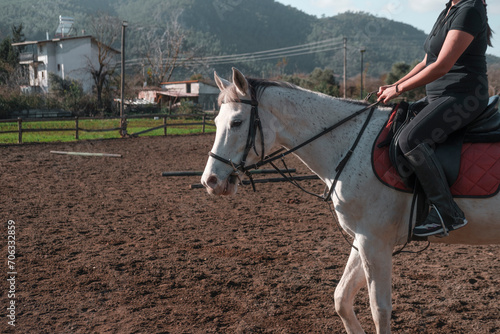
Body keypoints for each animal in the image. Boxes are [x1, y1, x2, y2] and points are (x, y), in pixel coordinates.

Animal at [200, 66, 500, 332]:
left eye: (236, 122)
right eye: (215, 122)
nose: (210, 181)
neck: (350, 145)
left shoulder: (375, 241)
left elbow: (379, 310)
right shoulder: (363, 239)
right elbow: (341, 299)